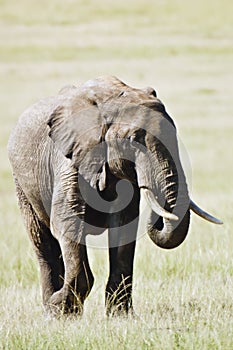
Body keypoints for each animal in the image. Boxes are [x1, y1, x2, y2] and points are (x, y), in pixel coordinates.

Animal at [7, 76, 222, 318]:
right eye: (132, 140)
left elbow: (123, 226)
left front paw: (120, 316)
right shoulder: (70, 160)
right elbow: (67, 222)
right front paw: (61, 311)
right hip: (21, 183)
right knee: (42, 241)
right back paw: (49, 311)